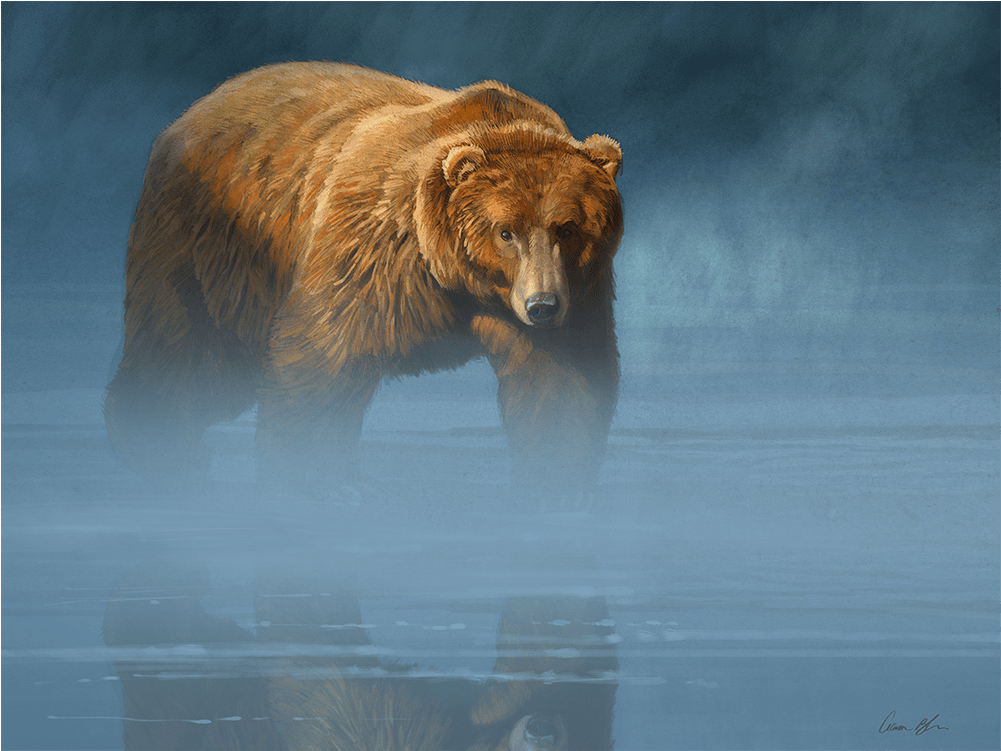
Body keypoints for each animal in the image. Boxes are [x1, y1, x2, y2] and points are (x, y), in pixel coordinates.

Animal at [103, 62, 623, 501]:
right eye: (505, 231)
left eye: (567, 227)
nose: (542, 305)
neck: (457, 278)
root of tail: (187, 115)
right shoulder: (378, 247)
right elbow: (326, 351)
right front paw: (317, 481)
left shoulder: (578, 289)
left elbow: (562, 379)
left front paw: (553, 482)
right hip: (213, 245)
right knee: (190, 350)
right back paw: (162, 447)